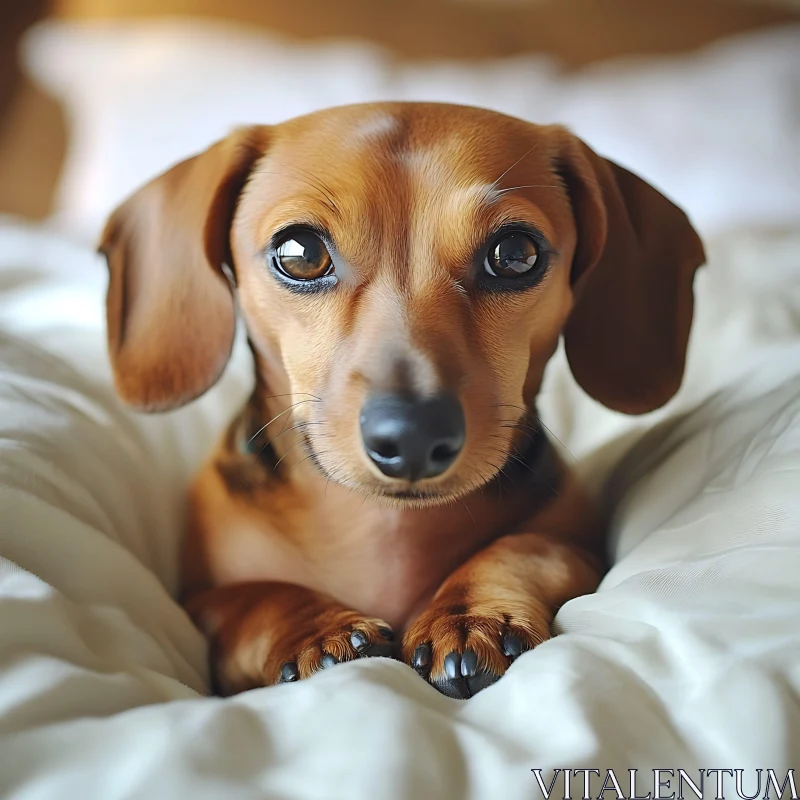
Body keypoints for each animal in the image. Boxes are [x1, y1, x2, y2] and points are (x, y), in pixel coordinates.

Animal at [100, 103, 708, 696]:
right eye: (299, 252)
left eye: (516, 253)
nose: (414, 436)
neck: (384, 528)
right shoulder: (199, 601)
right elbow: (252, 598)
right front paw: (317, 629)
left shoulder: (577, 546)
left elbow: (529, 547)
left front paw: (471, 614)